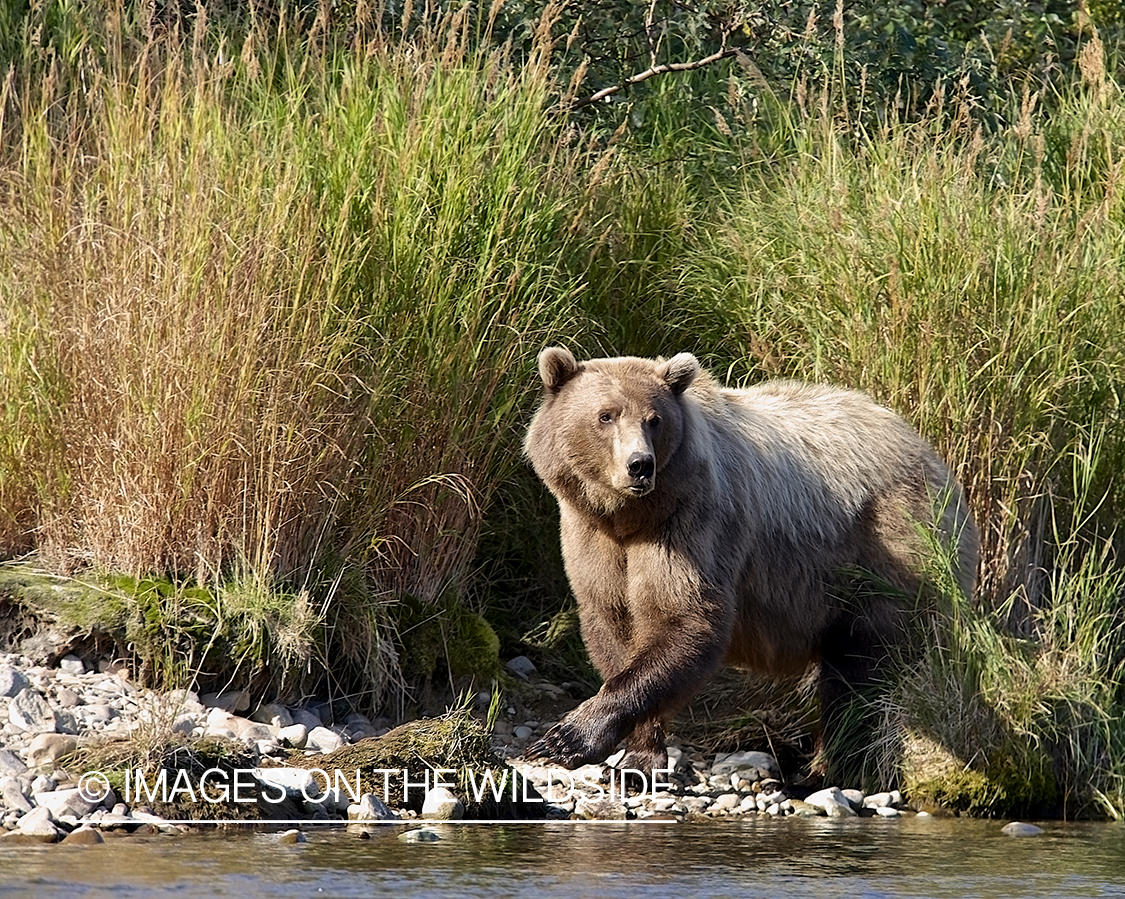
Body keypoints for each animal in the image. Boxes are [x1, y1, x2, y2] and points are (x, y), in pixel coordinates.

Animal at [523, 346, 979, 780]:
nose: (640, 465)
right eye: (606, 415)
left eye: (654, 419)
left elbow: (685, 618)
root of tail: (933, 458)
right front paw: (639, 752)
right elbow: (614, 626)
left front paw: (565, 738)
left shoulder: (693, 522)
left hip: (887, 547)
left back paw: (836, 763)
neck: (629, 516)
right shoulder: (593, 538)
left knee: (863, 666)